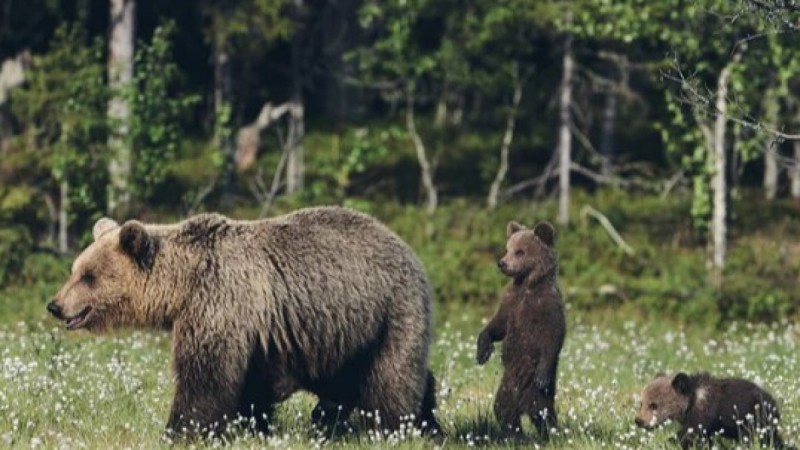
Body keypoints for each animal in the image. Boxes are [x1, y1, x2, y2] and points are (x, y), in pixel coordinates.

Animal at [47, 206, 440, 439]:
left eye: (89, 276)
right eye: (75, 270)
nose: (56, 305)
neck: (183, 284)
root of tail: (407, 247)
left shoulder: (220, 301)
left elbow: (205, 376)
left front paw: (179, 430)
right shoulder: (260, 329)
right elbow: (250, 383)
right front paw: (252, 425)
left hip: (388, 311)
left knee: (391, 377)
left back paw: (398, 426)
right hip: (342, 333)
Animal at [475, 220, 566, 439]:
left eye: (520, 252)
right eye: (507, 248)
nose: (502, 263)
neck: (527, 284)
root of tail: (522, 403)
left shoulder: (547, 306)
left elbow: (553, 336)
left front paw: (542, 374)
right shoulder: (511, 302)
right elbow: (498, 325)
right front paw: (483, 351)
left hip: (532, 386)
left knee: (543, 410)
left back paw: (550, 433)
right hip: (508, 385)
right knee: (503, 408)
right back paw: (516, 434)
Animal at [636, 372, 793, 449]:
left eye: (654, 405)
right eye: (641, 403)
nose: (639, 421)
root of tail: (773, 401)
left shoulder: (704, 415)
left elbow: (688, 435)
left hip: (757, 420)